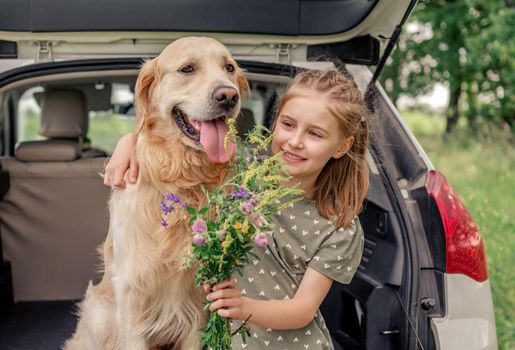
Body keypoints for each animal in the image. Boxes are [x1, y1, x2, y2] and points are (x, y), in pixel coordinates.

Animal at [63, 37, 249, 348]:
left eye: (229, 68)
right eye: (187, 68)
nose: (229, 96)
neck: (181, 179)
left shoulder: (198, 303)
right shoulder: (132, 295)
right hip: (99, 316)